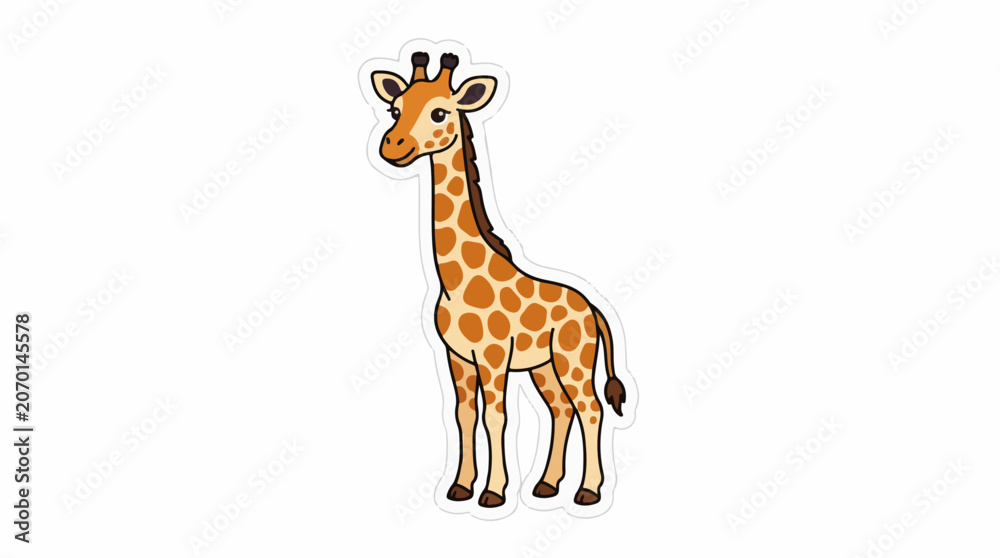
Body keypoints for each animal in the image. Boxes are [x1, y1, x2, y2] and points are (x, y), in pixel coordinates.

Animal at [369, 52, 627, 508]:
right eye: (395, 109)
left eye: (439, 112)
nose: (392, 147)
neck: (455, 280)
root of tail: (593, 308)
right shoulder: (457, 357)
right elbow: (464, 414)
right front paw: (459, 487)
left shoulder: (493, 357)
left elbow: (496, 416)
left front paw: (493, 493)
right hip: (544, 366)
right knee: (560, 409)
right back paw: (546, 485)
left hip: (573, 358)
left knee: (590, 407)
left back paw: (588, 491)